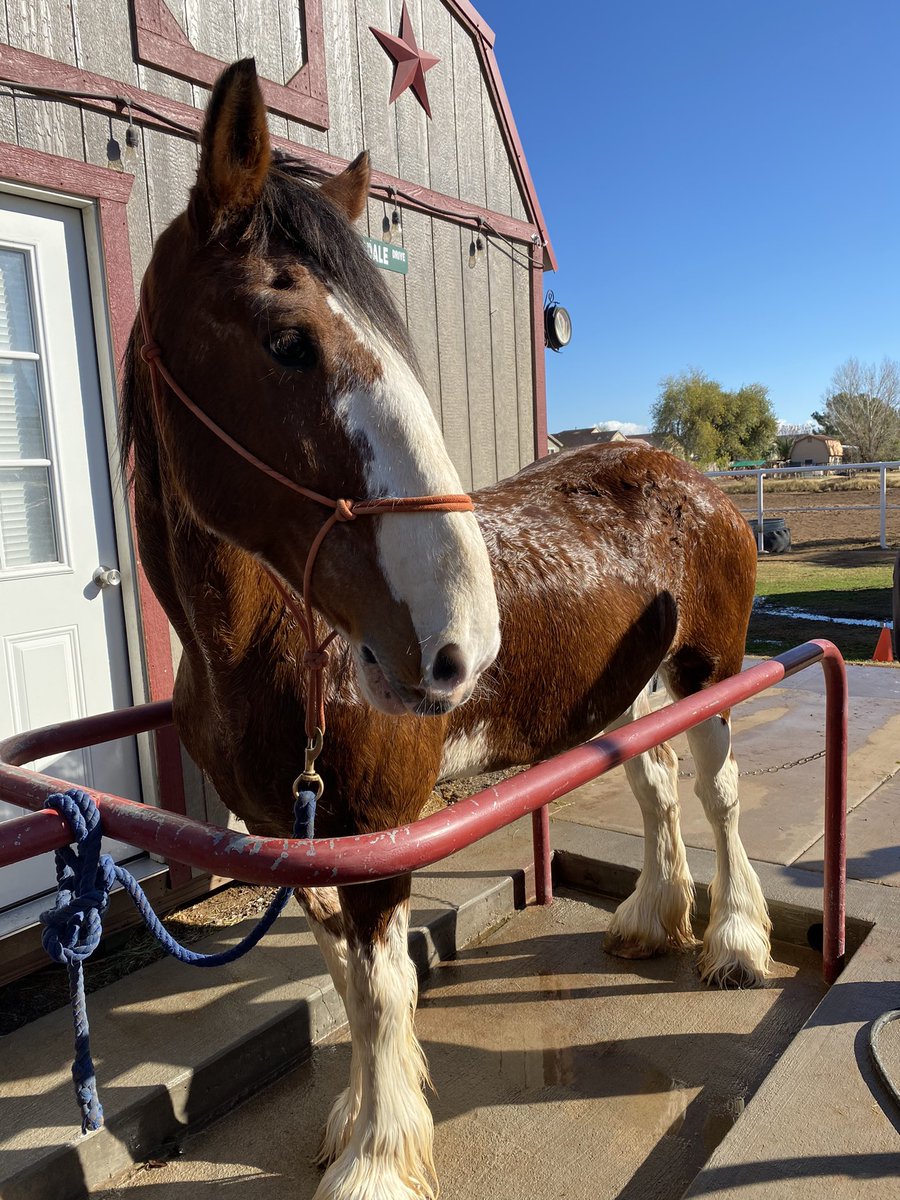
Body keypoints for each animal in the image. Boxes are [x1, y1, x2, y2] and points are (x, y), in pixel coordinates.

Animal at [123, 58, 767, 1200]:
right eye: (287, 342)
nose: (460, 640)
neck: (263, 654)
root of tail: (688, 475)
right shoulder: (305, 846)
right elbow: (348, 981)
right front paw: (353, 1120)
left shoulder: (378, 837)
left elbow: (380, 994)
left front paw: (376, 1160)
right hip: (628, 692)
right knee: (655, 792)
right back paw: (651, 919)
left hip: (710, 675)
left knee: (718, 796)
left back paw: (730, 943)